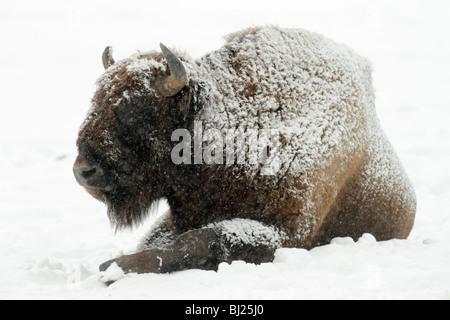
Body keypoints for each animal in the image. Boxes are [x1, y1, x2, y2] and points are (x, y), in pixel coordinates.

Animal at [73, 25, 414, 276]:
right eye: (96, 102)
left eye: (136, 112)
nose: (83, 171)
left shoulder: (288, 232)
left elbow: (203, 240)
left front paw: (112, 267)